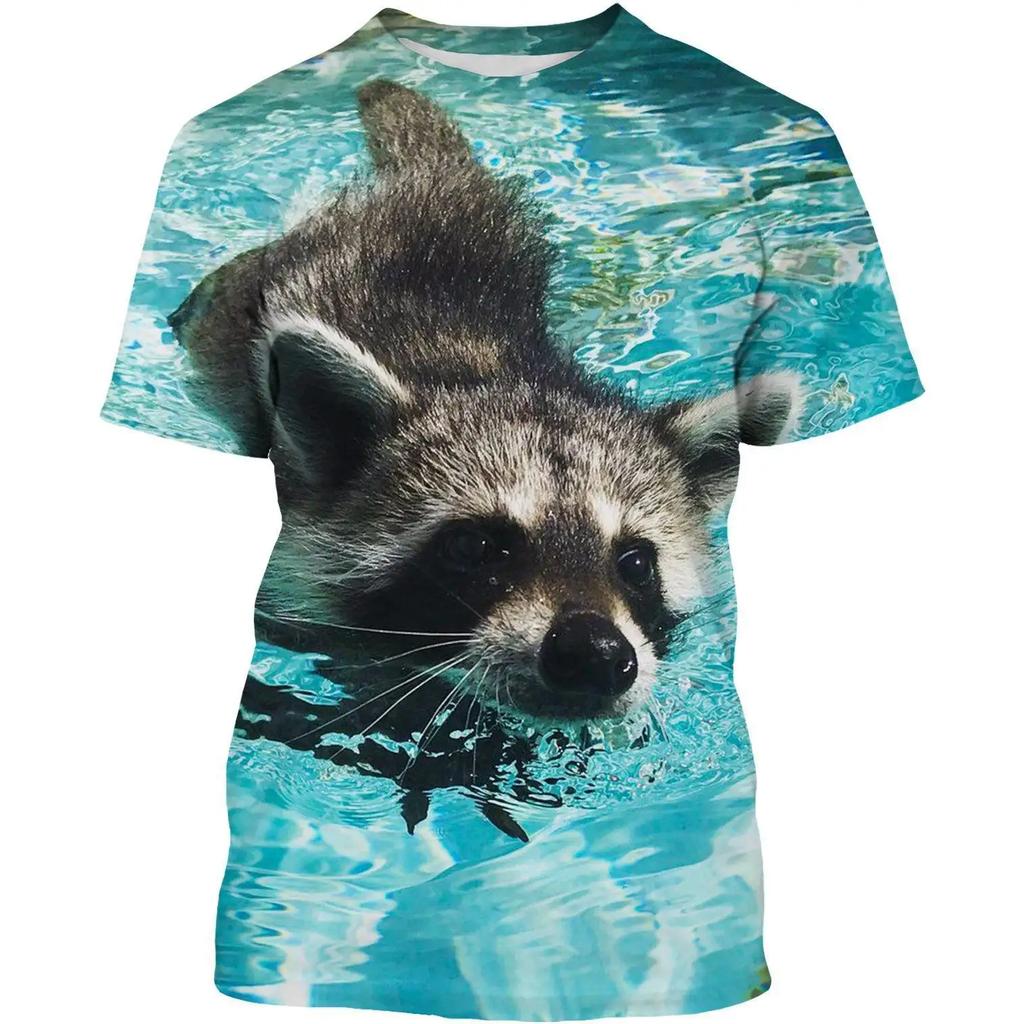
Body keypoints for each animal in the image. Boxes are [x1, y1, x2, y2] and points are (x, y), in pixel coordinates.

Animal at [170, 80, 801, 740]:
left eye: (635, 562)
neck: (503, 375)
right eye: (472, 547)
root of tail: (433, 186)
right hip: (229, 302)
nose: (596, 653)